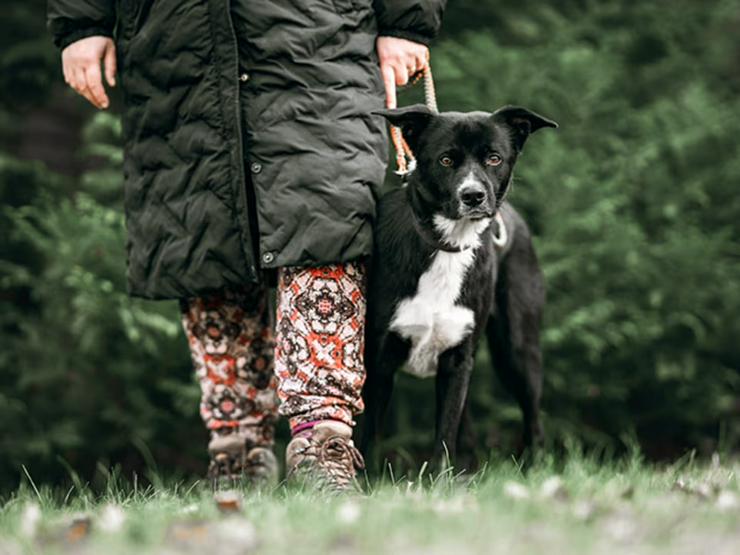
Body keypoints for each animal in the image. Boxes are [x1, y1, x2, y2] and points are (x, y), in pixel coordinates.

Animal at [362, 104, 556, 470]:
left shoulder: (458, 360)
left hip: (517, 351)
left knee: (534, 422)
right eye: (446, 160)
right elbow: (367, 440)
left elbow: (445, 438)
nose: (473, 196)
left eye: (494, 158)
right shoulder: (378, 361)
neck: (447, 244)